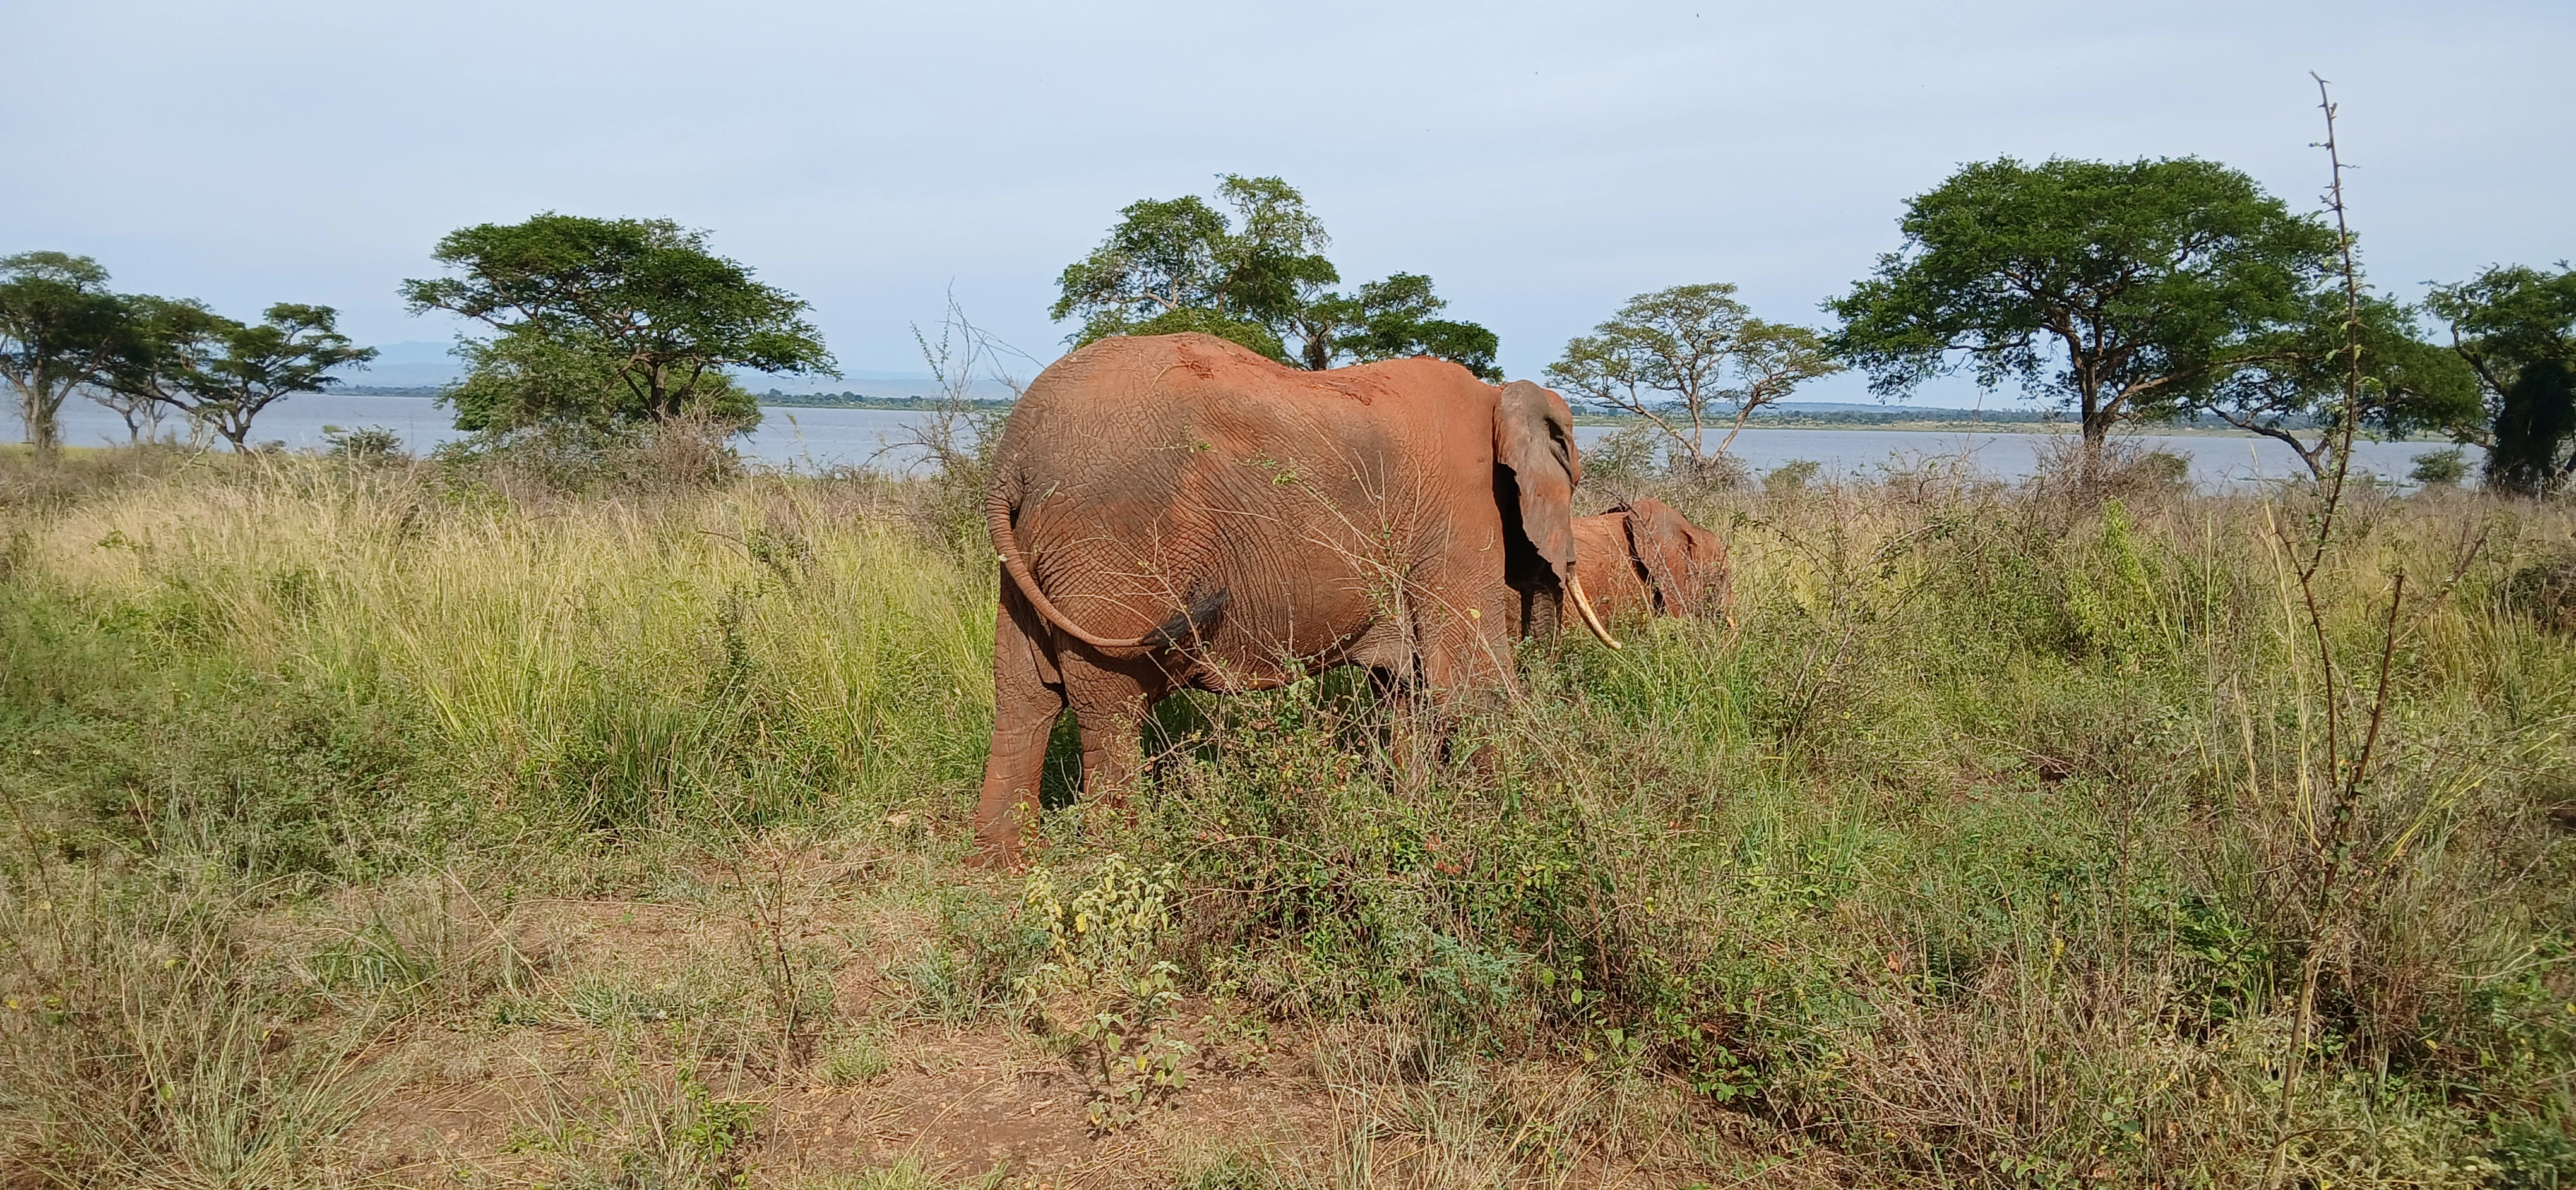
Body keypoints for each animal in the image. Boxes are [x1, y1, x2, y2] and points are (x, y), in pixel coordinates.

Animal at [972, 332, 1619, 865]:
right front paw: (1514, 829)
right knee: (1111, 705)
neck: (1496, 396)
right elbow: (1470, 686)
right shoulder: (1459, 511)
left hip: (1035, 557)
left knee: (1024, 695)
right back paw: (1125, 859)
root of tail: (1013, 460)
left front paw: (1417, 817)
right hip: (1111, 544)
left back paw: (1001, 867)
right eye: (1573, 482)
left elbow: (1408, 688)